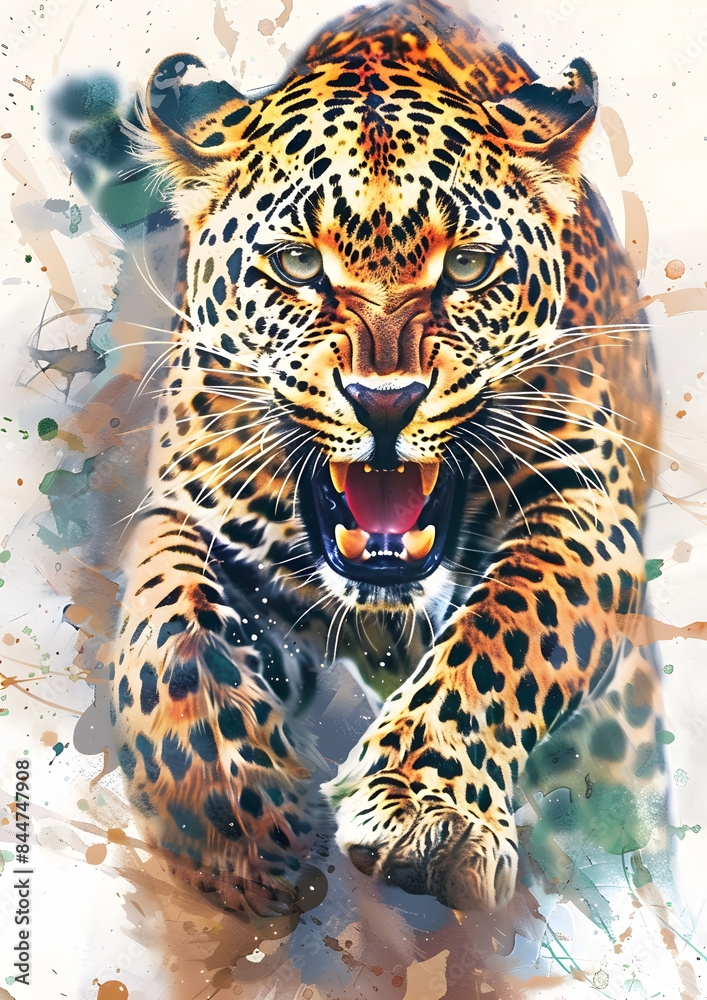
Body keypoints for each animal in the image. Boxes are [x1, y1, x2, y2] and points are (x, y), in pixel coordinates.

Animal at [108, 0, 667, 918]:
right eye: (299, 263)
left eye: (467, 266)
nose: (384, 401)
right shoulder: (192, 507)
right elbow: (167, 631)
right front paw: (236, 821)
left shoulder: (584, 505)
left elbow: (506, 627)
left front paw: (425, 810)